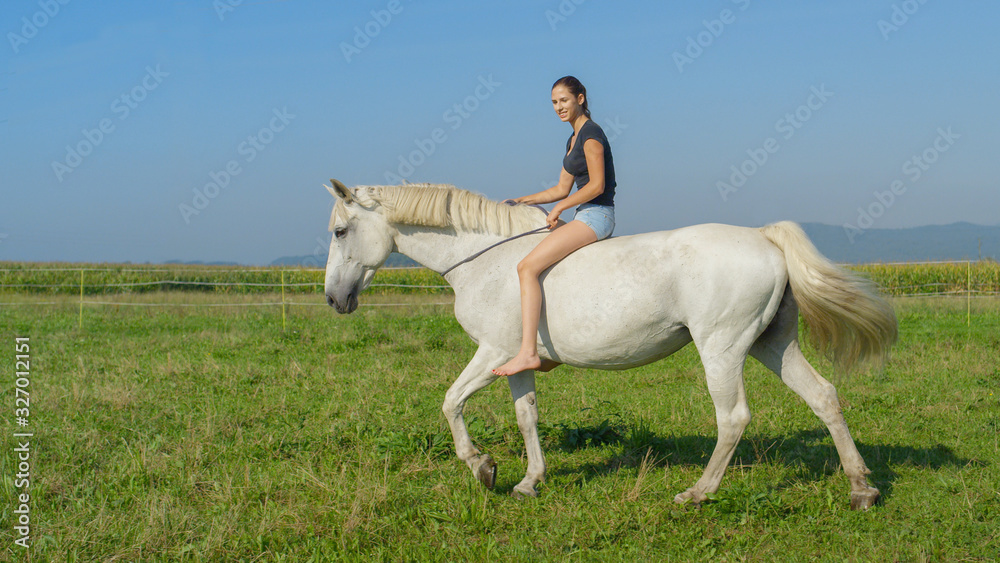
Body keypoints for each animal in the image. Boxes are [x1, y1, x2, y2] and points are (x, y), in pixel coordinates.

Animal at [322, 181, 900, 512]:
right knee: (823, 396)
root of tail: (763, 237)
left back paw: (697, 494)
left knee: (733, 417)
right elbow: (527, 416)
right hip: (770, 344)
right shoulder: (516, 363)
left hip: (722, 348)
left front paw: (483, 469)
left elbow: (450, 402)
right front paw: (529, 482)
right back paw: (861, 490)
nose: (334, 299)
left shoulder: (492, 354)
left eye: (341, 230)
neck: (484, 260)